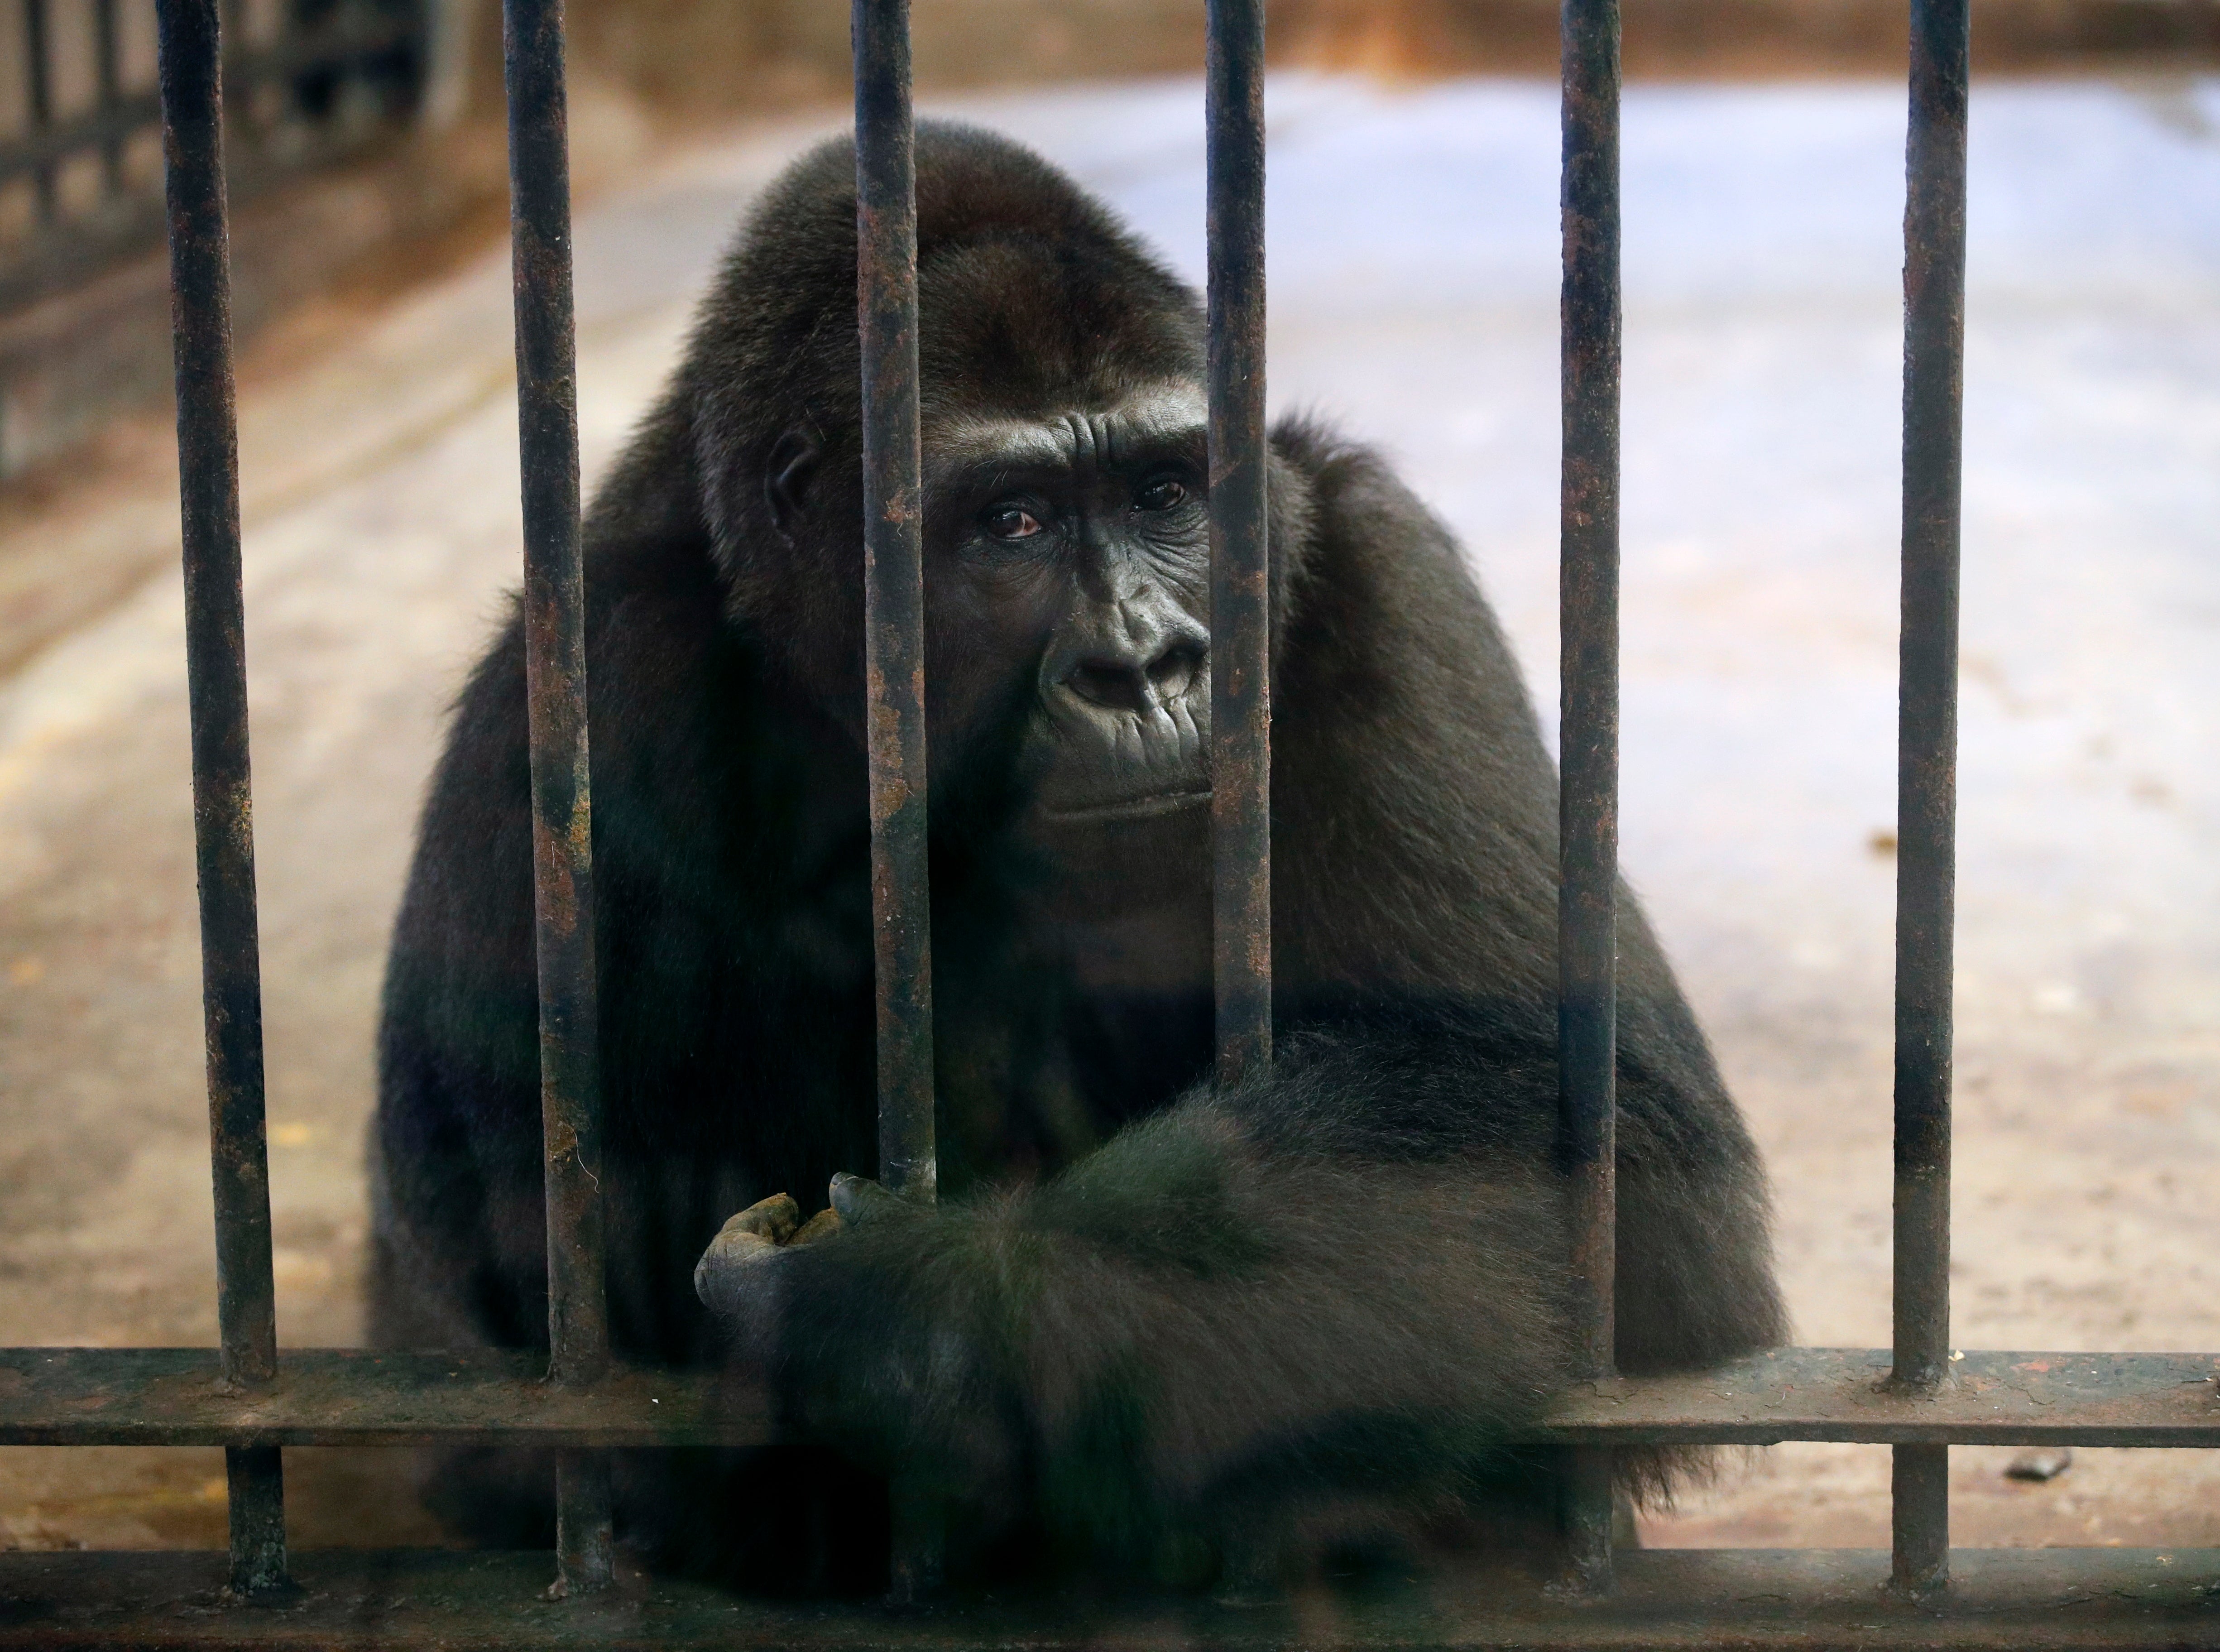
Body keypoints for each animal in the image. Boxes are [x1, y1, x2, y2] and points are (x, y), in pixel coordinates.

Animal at [368, 122, 1785, 1590]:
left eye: (1164, 493)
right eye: (1013, 522)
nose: (1141, 665)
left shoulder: (1369, 558)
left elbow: (1578, 1119)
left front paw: (912, 1322)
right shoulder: (582, 690)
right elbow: (553, 1326)